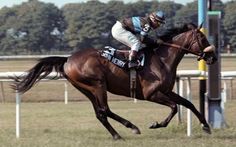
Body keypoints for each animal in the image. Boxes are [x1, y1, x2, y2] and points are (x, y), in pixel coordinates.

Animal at [12, 23, 217, 140]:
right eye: (202, 37)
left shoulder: (166, 91)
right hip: (97, 85)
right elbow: (174, 107)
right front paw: (156, 124)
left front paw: (206, 126)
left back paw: (118, 135)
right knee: (104, 109)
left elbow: (188, 103)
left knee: (100, 113)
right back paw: (131, 127)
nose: (213, 57)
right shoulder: (151, 94)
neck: (162, 59)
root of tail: (68, 59)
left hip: (86, 89)